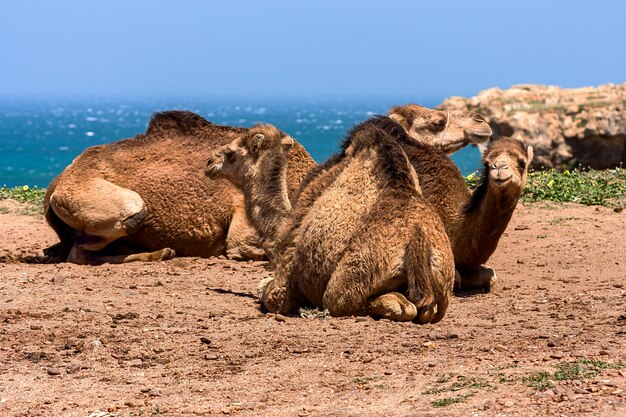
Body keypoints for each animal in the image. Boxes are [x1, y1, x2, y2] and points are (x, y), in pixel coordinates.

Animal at [26, 110, 314, 264]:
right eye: (230, 153)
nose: (211, 161)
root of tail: (54, 186)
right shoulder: (242, 236)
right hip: (115, 201)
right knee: (80, 253)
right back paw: (160, 253)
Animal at [206, 118, 454, 324]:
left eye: (230, 153)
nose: (209, 162)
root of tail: (416, 238)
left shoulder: (285, 274)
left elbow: (267, 291)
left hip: (351, 278)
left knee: (354, 302)